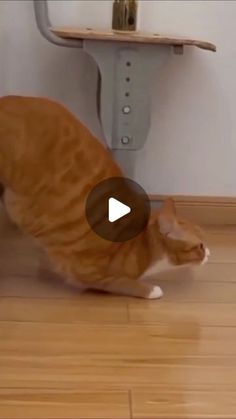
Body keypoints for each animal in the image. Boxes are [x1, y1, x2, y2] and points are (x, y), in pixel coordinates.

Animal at [0, 96, 209, 298]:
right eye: (199, 246)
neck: (143, 248)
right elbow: (127, 284)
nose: (209, 253)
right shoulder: (93, 276)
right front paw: (151, 290)